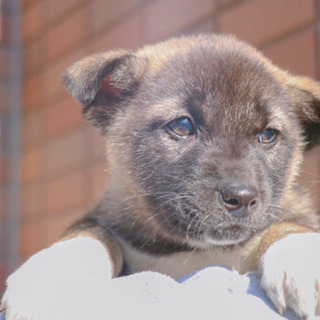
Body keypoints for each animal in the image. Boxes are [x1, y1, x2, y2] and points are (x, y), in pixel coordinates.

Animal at [1, 33, 320, 318]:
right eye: (182, 125)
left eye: (268, 135)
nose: (242, 198)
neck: (189, 249)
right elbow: (92, 232)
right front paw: (52, 278)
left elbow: (291, 224)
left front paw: (302, 256)